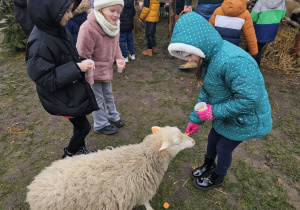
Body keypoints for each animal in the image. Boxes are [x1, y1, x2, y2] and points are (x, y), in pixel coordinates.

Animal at [27, 125, 196, 209]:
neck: (144, 157)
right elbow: (147, 204)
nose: (194, 141)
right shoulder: (144, 191)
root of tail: (33, 192)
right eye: (178, 143)